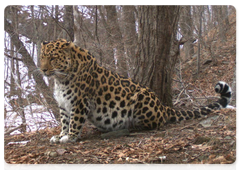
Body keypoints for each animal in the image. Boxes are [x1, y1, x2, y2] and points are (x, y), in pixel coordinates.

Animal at [39, 38, 232, 143]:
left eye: (53, 58)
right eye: (41, 57)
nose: (42, 70)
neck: (60, 78)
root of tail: (163, 106)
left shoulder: (80, 102)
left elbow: (75, 121)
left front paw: (70, 137)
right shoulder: (63, 105)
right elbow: (64, 121)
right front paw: (60, 135)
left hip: (140, 98)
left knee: (156, 123)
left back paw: (131, 126)